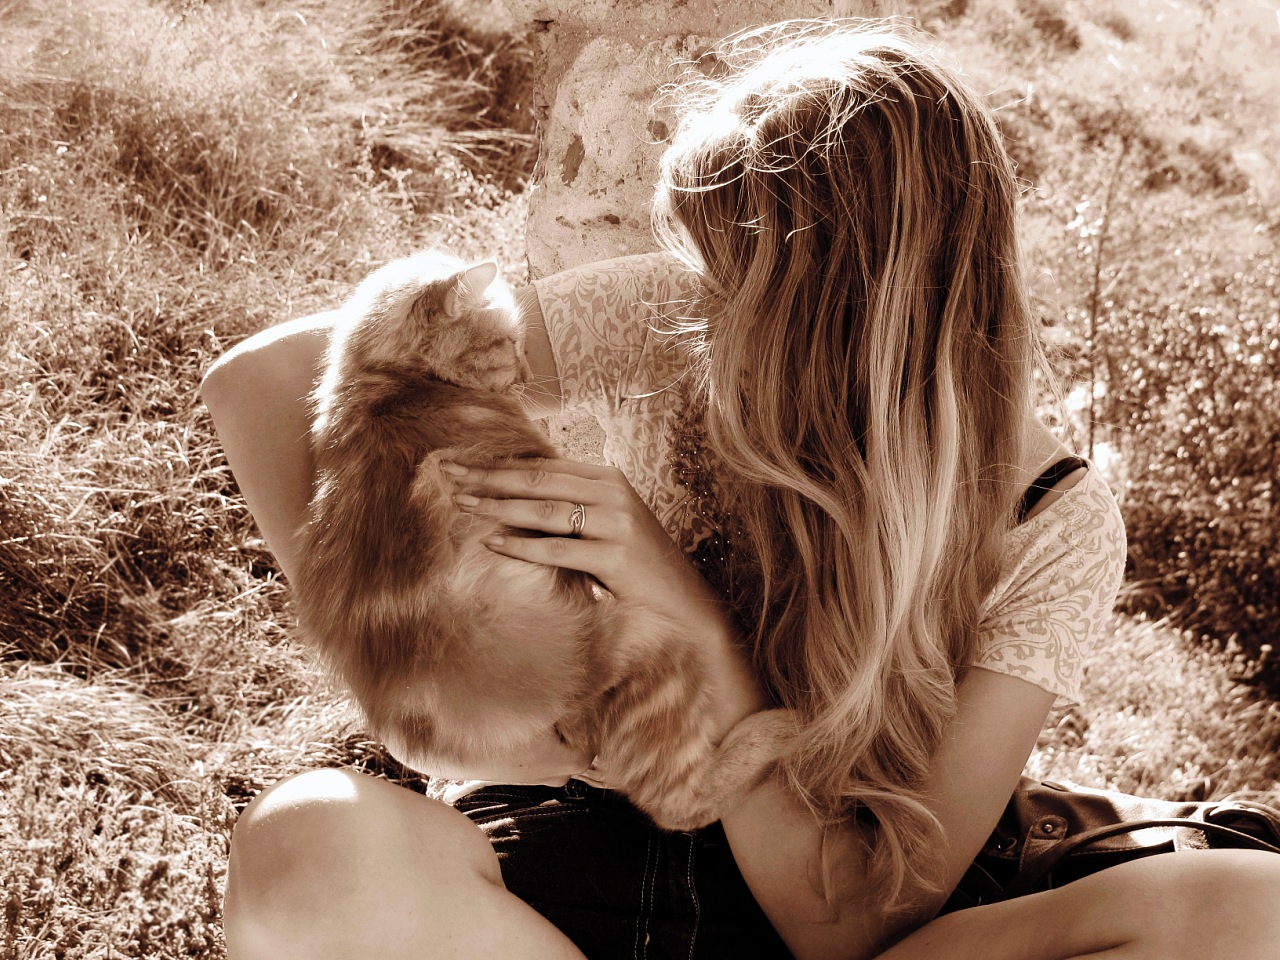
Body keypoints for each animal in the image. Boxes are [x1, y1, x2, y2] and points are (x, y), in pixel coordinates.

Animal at [294, 250, 794, 831]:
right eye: (509, 342)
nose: (529, 372)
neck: (382, 388)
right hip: (646, 641)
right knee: (675, 801)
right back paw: (782, 728)